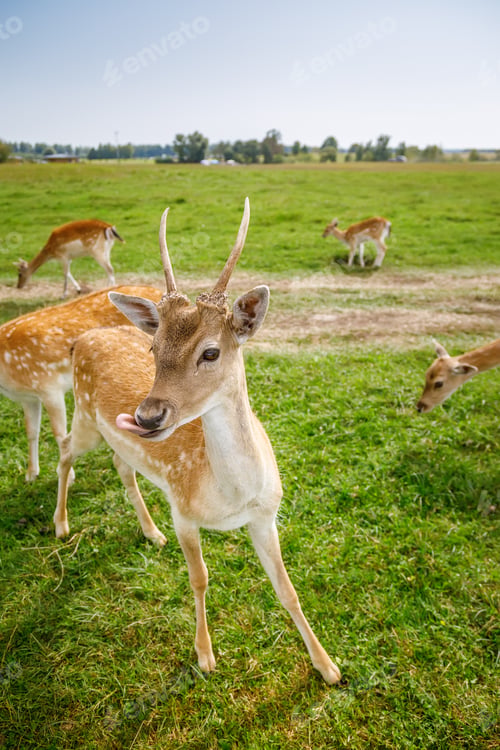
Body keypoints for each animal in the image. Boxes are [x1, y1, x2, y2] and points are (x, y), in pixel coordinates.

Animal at [0, 284, 162, 482]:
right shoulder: (28, 397)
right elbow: (31, 431)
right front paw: (31, 474)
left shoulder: (49, 386)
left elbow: (59, 432)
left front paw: (69, 477)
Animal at [54, 198, 342, 684]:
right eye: (153, 348)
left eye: (211, 352)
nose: (147, 416)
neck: (230, 497)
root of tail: (81, 340)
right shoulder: (182, 509)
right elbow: (200, 578)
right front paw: (205, 656)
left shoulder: (266, 515)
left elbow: (287, 589)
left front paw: (328, 667)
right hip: (85, 418)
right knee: (64, 453)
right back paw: (61, 525)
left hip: (111, 436)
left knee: (122, 467)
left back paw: (151, 533)